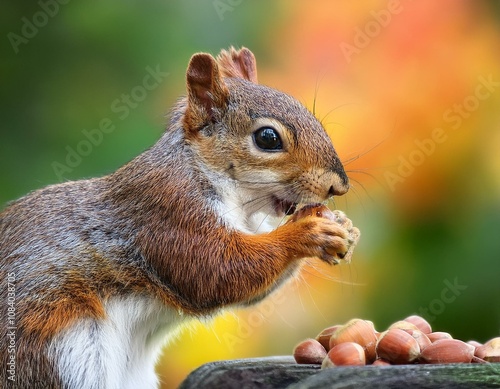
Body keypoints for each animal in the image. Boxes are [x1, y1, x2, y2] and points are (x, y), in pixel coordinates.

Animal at [0, 47, 360, 386]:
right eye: (267, 138)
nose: (338, 185)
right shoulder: (169, 210)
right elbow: (216, 268)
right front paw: (308, 232)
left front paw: (344, 227)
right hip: (61, 352)